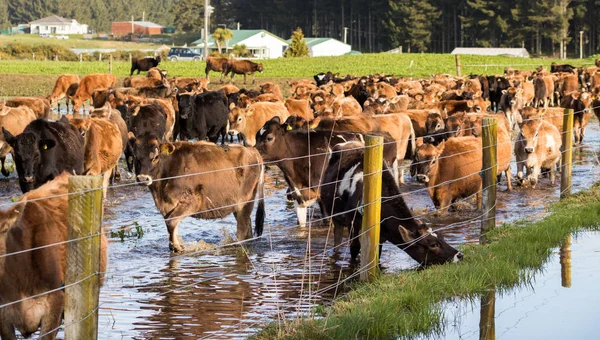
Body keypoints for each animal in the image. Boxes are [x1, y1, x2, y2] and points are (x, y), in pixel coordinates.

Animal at [322, 143, 462, 266]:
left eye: (442, 238)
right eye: (433, 245)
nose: (459, 255)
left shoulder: (380, 238)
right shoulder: (354, 227)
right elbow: (354, 252)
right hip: (337, 219)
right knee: (337, 244)